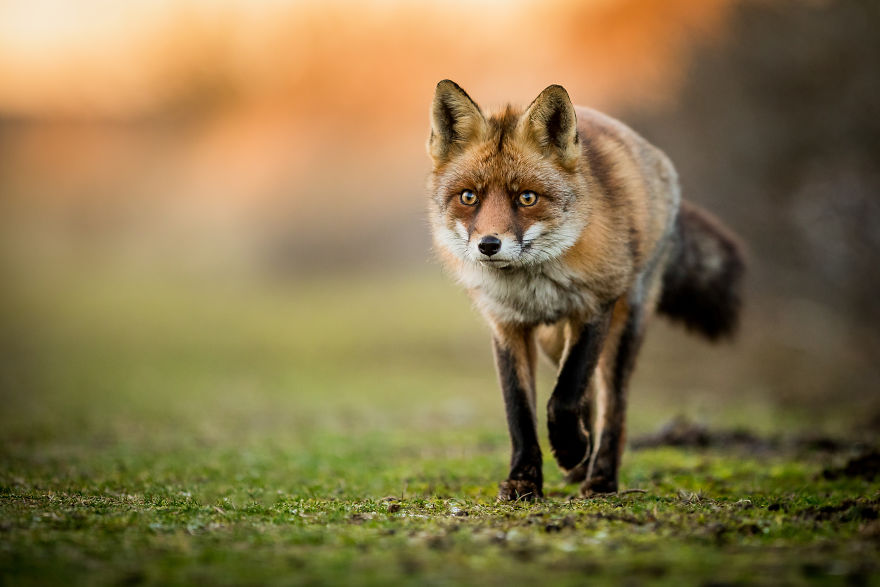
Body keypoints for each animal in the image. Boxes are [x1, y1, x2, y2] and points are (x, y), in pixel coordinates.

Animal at [426, 80, 745, 500]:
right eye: (468, 197)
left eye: (526, 198)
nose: (489, 245)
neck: (533, 287)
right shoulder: (507, 325)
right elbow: (520, 412)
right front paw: (524, 479)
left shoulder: (595, 307)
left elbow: (563, 398)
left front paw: (570, 448)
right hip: (552, 340)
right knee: (588, 397)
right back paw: (581, 464)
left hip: (625, 327)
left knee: (612, 406)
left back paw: (600, 477)